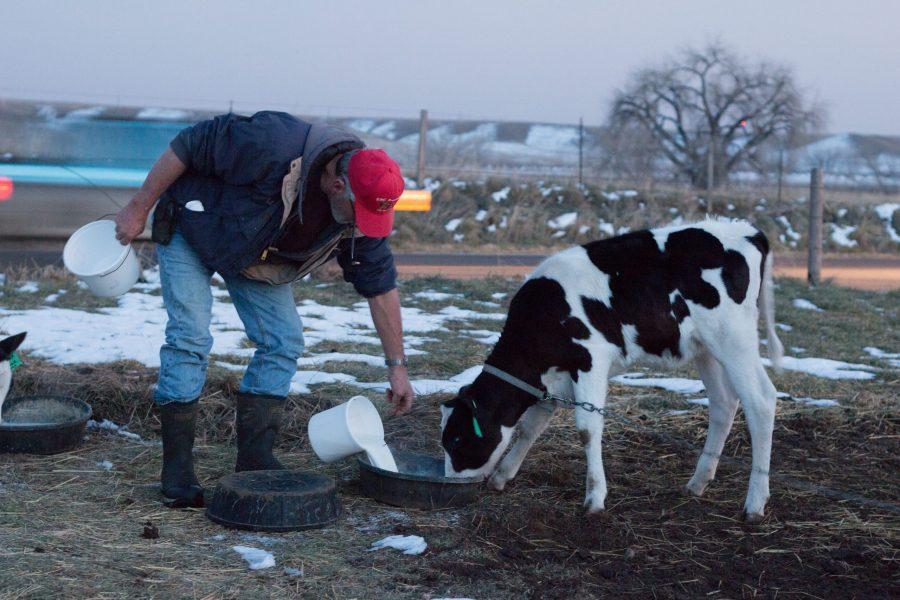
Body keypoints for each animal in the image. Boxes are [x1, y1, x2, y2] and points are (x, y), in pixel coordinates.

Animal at [442, 219, 780, 520]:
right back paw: (698, 483)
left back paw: (755, 504)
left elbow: (587, 430)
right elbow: (530, 426)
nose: (450, 483)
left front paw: (594, 498)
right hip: (705, 348)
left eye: (456, 439)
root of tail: (749, 231)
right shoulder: (550, 378)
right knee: (724, 403)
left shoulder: (590, 360)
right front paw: (503, 475)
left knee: (761, 401)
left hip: (733, 338)